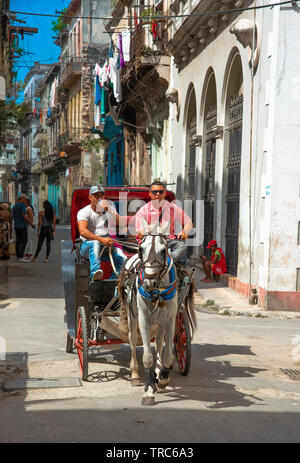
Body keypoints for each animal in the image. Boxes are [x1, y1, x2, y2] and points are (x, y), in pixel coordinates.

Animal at [118, 236, 196, 406]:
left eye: (163, 251)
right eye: (141, 249)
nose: (149, 283)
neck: (158, 291)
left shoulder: (170, 320)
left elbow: (167, 355)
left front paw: (162, 378)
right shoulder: (144, 320)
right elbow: (147, 357)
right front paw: (148, 390)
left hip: (160, 323)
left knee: (159, 343)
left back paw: (158, 373)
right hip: (132, 317)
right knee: (132, 340)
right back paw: (135, 374)